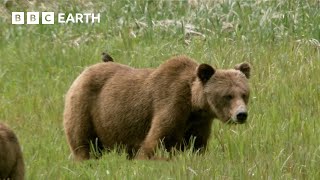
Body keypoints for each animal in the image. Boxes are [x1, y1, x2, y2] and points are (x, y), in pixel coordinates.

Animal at [63, 54, 251, 160]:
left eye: (244, 93)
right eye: (227, 95)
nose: (241, 114)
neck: (194, 105)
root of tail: (84, 71)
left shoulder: (199, 122)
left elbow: (197, 145)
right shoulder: (170, 104)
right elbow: (155, 140)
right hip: (85, 108)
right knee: (82, 143)